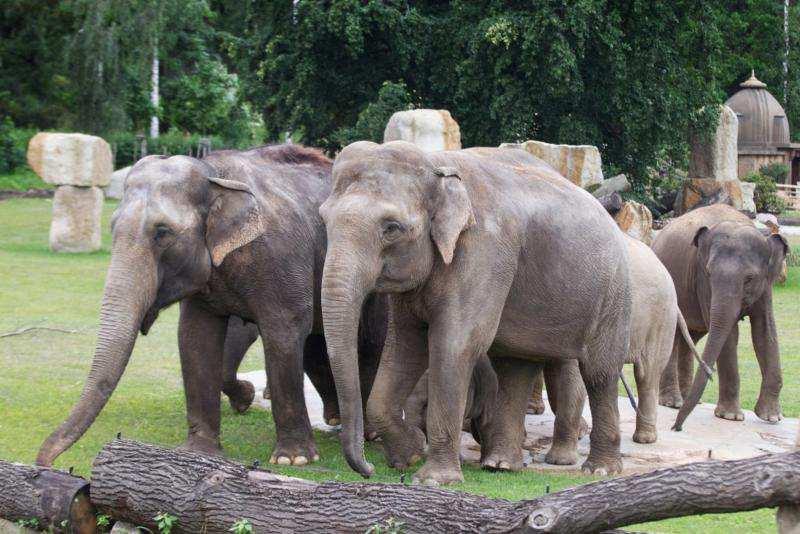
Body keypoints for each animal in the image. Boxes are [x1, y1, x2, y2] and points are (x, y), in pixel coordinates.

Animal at [36, 144, 386, 466]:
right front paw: (200, 449)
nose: (45, 463)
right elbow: (195, 337)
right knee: (316, 343)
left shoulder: (278, 257)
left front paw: (293, 459)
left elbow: (283, 334)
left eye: (162, 232)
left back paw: (365, 433)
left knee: (367, 342)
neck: (212, 173)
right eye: (112, 227)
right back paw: (337, 419)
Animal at [318, 141, 632, 486]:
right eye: (324, 220)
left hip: (612, 294)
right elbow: (404, 345)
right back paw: (501, 465)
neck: (437, 163)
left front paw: (432, 479)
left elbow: (456, 345)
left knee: (600, 372)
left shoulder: (485, 251)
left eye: (392, 228)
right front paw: (408, 456)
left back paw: (599, 470)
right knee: (516, 367)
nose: (368, 470)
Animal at [652, 203, 792, 430]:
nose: (676, 427)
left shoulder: (765, 286)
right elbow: (730, 335)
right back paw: (673, 402)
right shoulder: (703, 282)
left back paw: (690, 399)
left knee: (691, 336)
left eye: (749, 278)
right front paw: (730, 416)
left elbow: (765, 331)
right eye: (709, 272)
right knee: (675, 334)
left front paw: (771, 417)